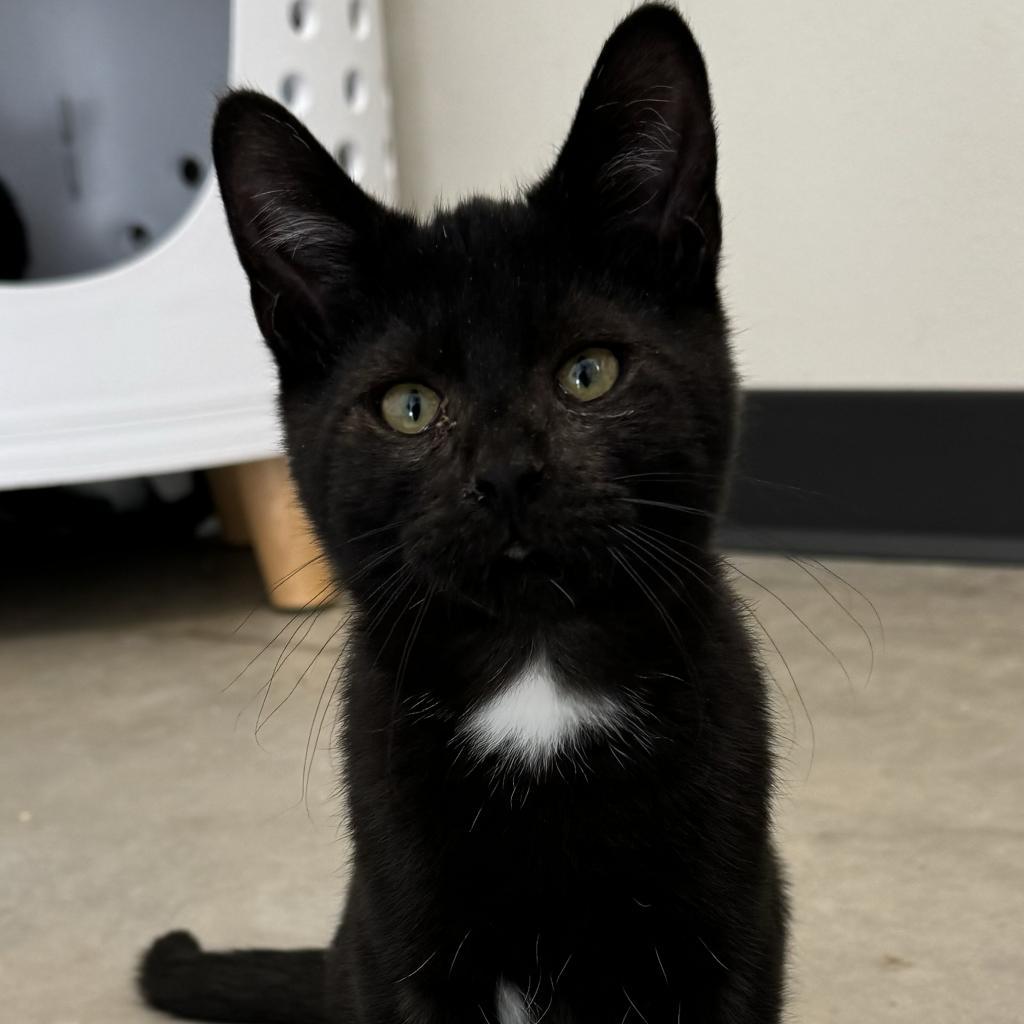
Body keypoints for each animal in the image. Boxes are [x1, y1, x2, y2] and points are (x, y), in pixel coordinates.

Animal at [140, 8, 786, 1024]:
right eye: (410, 405)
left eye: (589, 372)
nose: (507, 474)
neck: (537, 677)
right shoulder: (404, 937)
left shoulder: (728, 930)